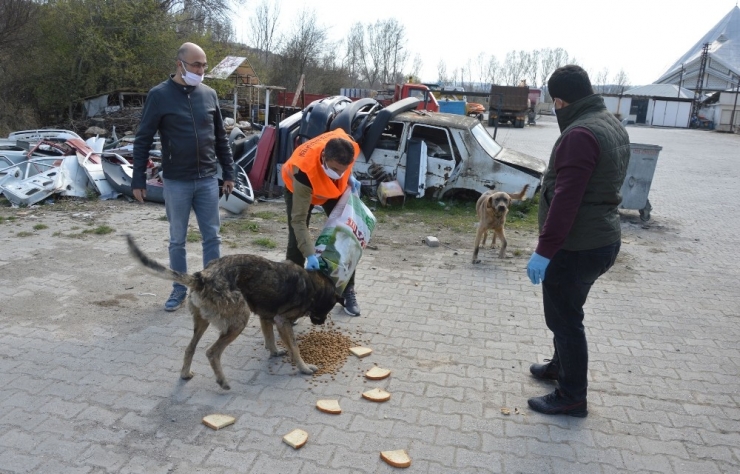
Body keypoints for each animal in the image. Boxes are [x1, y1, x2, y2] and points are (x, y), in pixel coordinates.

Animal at [125, 235, 338, 390]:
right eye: (328, 308)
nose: (320, 323)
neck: (313, 285)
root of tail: (202, 277)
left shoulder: (266, 317)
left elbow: (269, 339)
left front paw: (275, 352)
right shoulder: (282, 321)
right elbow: (295, 347)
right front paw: (304, 368)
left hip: (202, 322)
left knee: (190, 348)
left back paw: (185, 374)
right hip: (239, 320)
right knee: (212, 352)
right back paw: (222, 381)